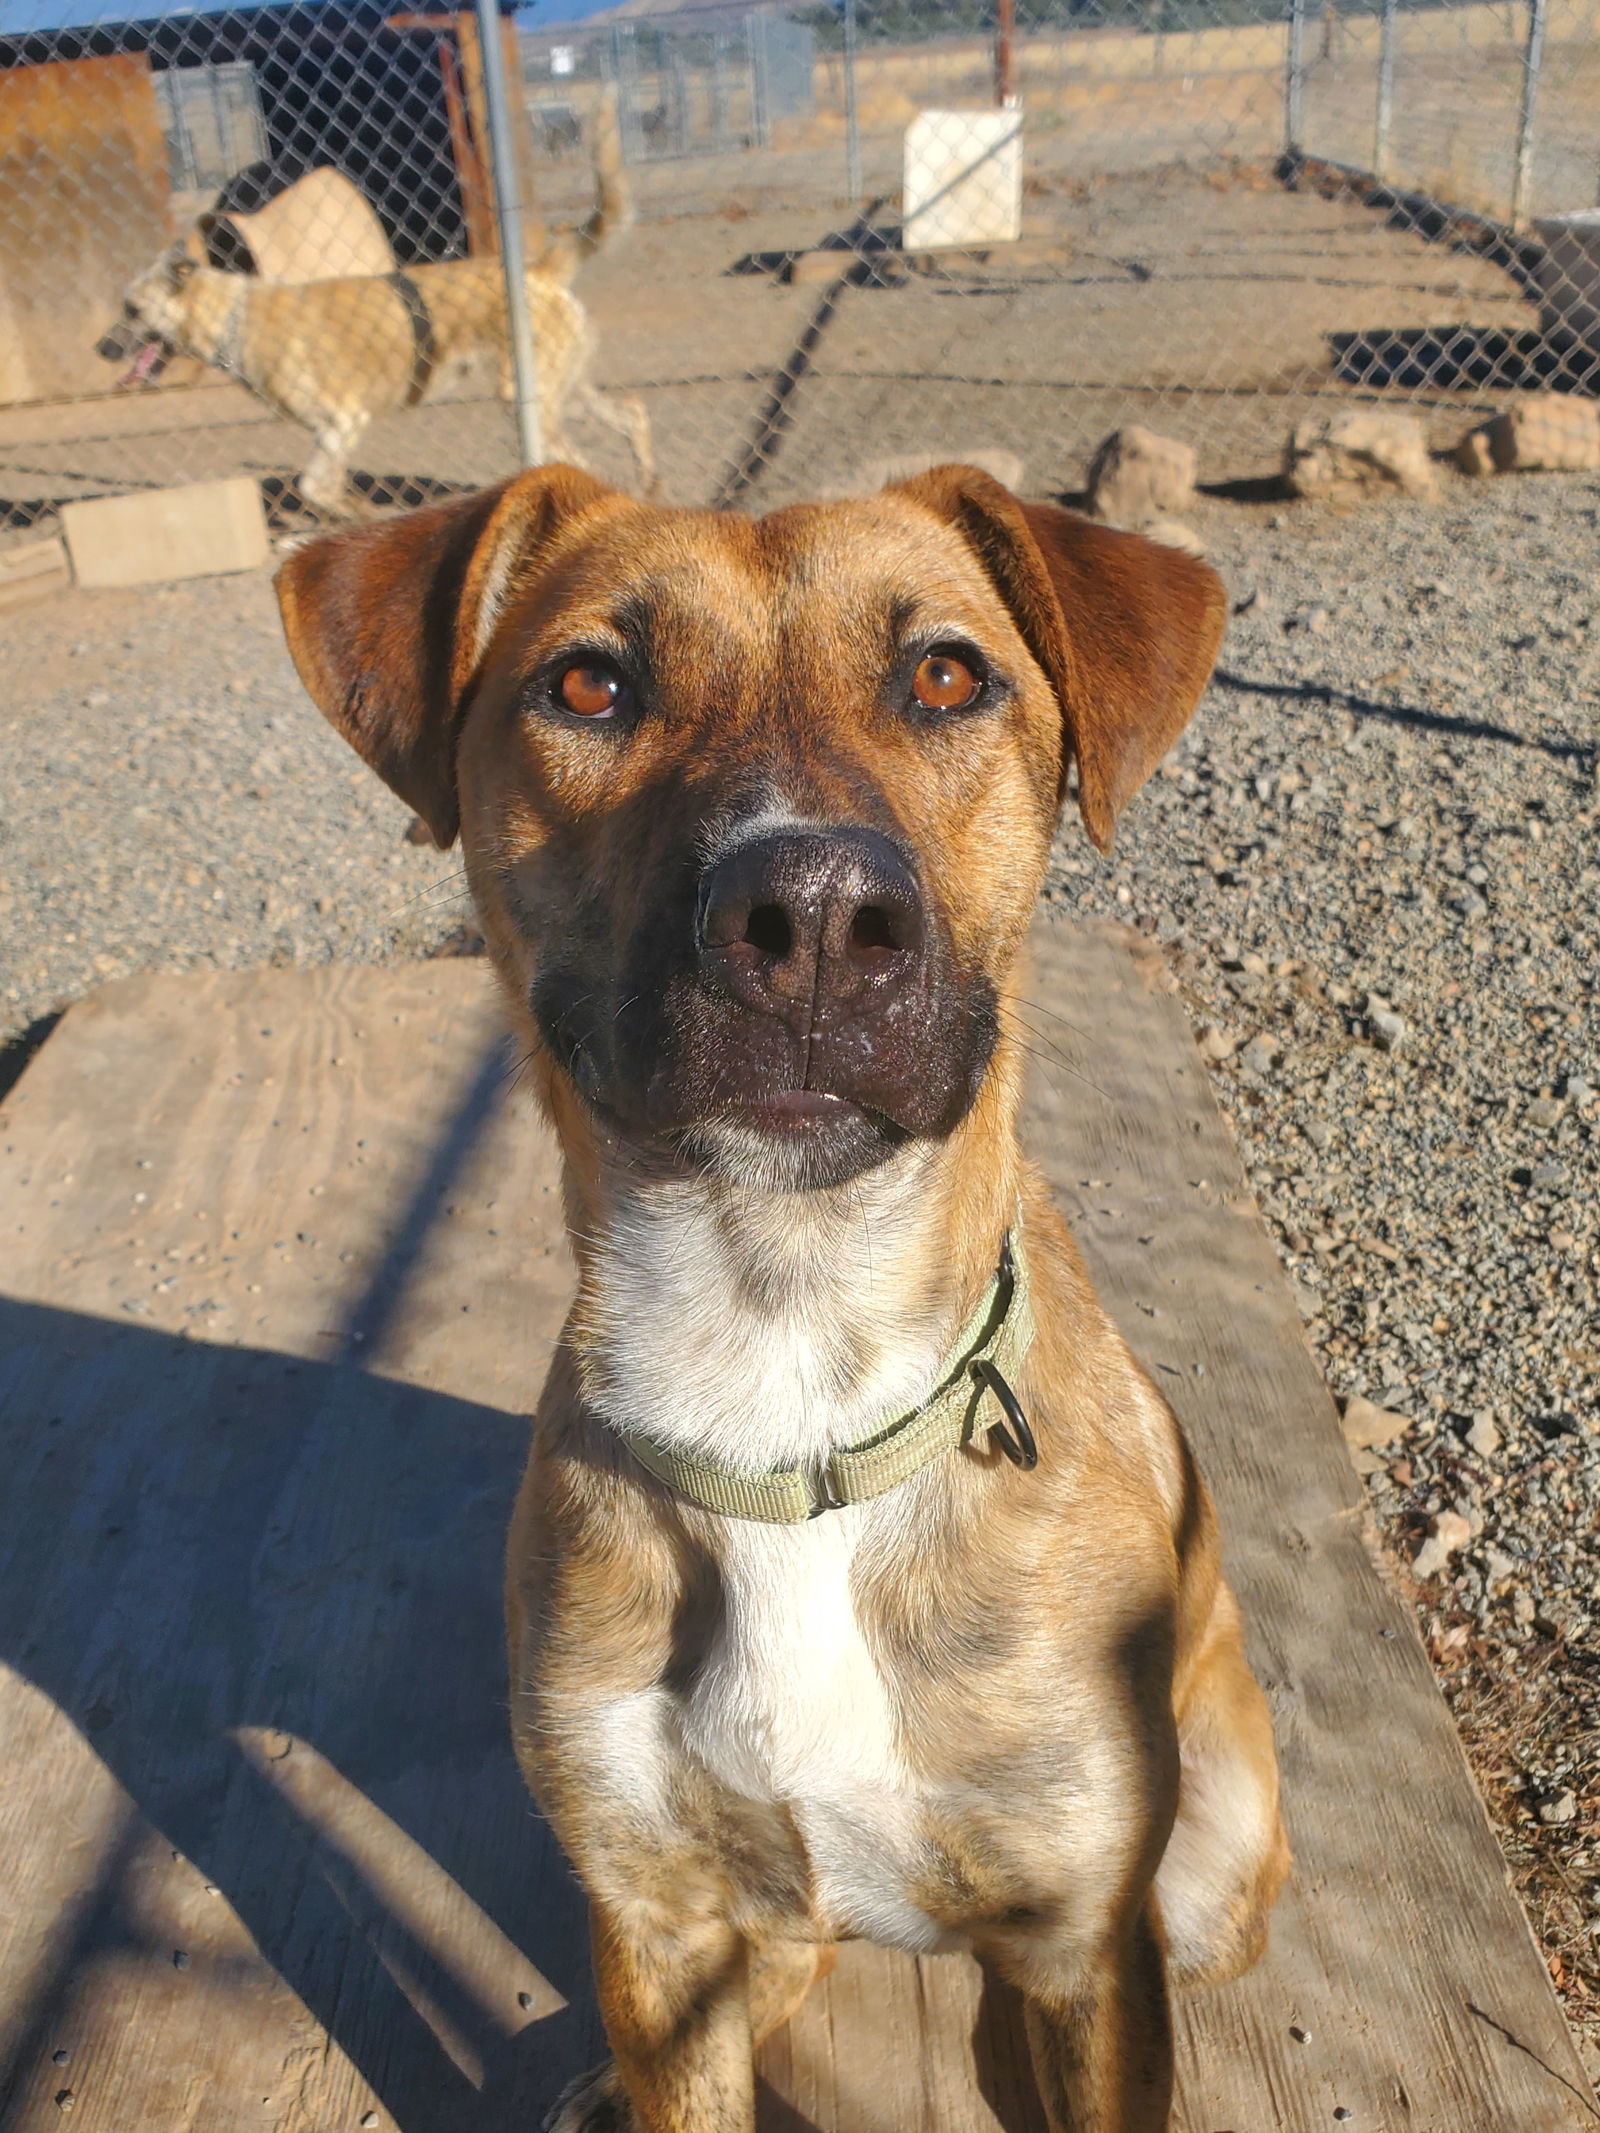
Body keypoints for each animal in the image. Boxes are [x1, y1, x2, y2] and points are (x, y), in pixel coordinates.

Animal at [103, 108, 652, 520]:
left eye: (132, 308)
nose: (101, 347)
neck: (234, 317)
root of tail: (540, 269)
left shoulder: (343, 421)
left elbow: (314, 486)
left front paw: (356, 513)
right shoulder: (330, 435)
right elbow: (320, 485)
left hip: (526, 396)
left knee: (575, 459)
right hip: (564, 390)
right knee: (633, 413)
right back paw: (651, 482)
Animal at [275, 471, 1288, 2133]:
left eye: (945, 674)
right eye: (588, 684)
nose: (812, 916)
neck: (785, 1360)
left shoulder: (1087, 1939)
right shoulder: (653, 1914)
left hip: (1204, 1878)